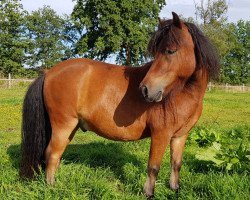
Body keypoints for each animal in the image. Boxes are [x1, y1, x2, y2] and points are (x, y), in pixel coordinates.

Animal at [20, 12, 219, 197]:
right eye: (157, 52)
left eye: (170, 51)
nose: (145, 90)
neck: (181, 94)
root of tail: (48, 72)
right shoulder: (160, 134)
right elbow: (153, 167)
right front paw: (148, 193)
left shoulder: (180, 136)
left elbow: (176, 164)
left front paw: (175, 190)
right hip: (63, 125)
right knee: (52, 154)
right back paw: (52, 187)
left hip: (71, 127)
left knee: (56, 155)